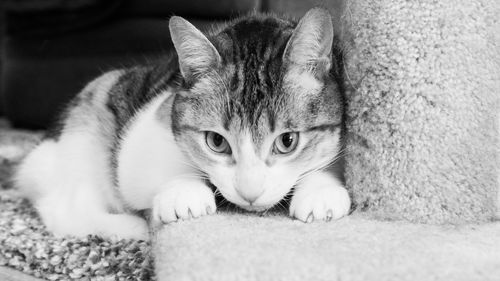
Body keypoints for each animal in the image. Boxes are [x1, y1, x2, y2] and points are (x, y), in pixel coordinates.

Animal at [15, 7, 352, 238]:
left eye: (287, 141)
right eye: (216, 142)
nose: (249, 193)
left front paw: (320, 191)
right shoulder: (147, 127)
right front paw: (184, 193)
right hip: (86, 131)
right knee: (65, 209)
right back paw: (131, 228)